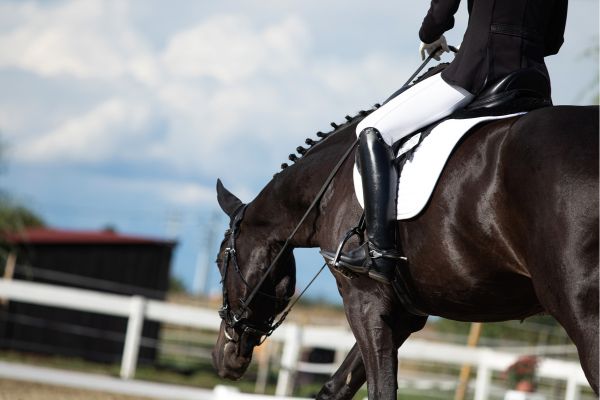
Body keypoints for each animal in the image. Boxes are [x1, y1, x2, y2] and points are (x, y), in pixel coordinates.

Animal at [213, 104, 596, 398]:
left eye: (219, 262)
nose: (223, 358)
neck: (329, 186)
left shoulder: (363, 300)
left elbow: (380, 390)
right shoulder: (403, 314)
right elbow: (335, 388)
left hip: (583, 314)